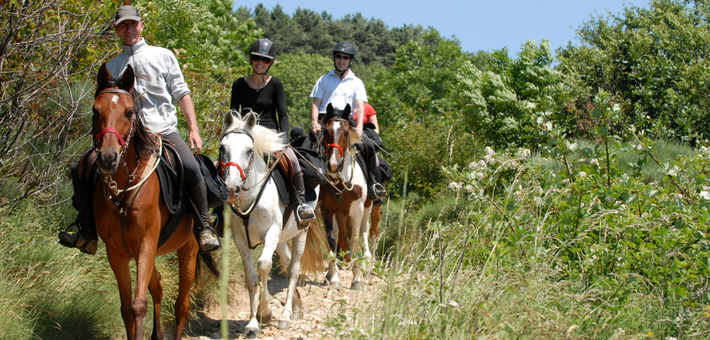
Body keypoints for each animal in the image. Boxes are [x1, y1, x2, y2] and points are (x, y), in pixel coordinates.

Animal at [93, 64, 218, 340]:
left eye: (130, 112)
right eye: (96, 110)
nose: (108, 158)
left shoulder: (145, 244)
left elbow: (138, 305)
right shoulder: (116, 252)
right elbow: (126, 309)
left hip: (189, 249)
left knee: (182, 305)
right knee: (158, 285)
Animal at [220, 110, 328, 336]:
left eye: (249, 150)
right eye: (222, 148)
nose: (232, 189)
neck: (250, 198)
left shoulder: (271, 232)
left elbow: (263, 266)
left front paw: (266, 312)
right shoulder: (240, 239)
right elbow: (251, 277)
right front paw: (253, 323)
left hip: (299, 233)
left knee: (294, 268)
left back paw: (286, 315)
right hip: (281, 238)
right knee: (286, 263)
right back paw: (296, 306)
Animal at [320, 103, 376, 290]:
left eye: (346, 132)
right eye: (326, 131)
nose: (333, 165)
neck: (340, 181)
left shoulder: (357, 210)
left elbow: (356, 238)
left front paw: (357, 277)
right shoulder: (327, 209)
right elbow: (332, 238)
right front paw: (335, 278)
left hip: (367, 207)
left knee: (364, 230)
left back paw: (366, 261)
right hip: (340, 213)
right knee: (341, 237)